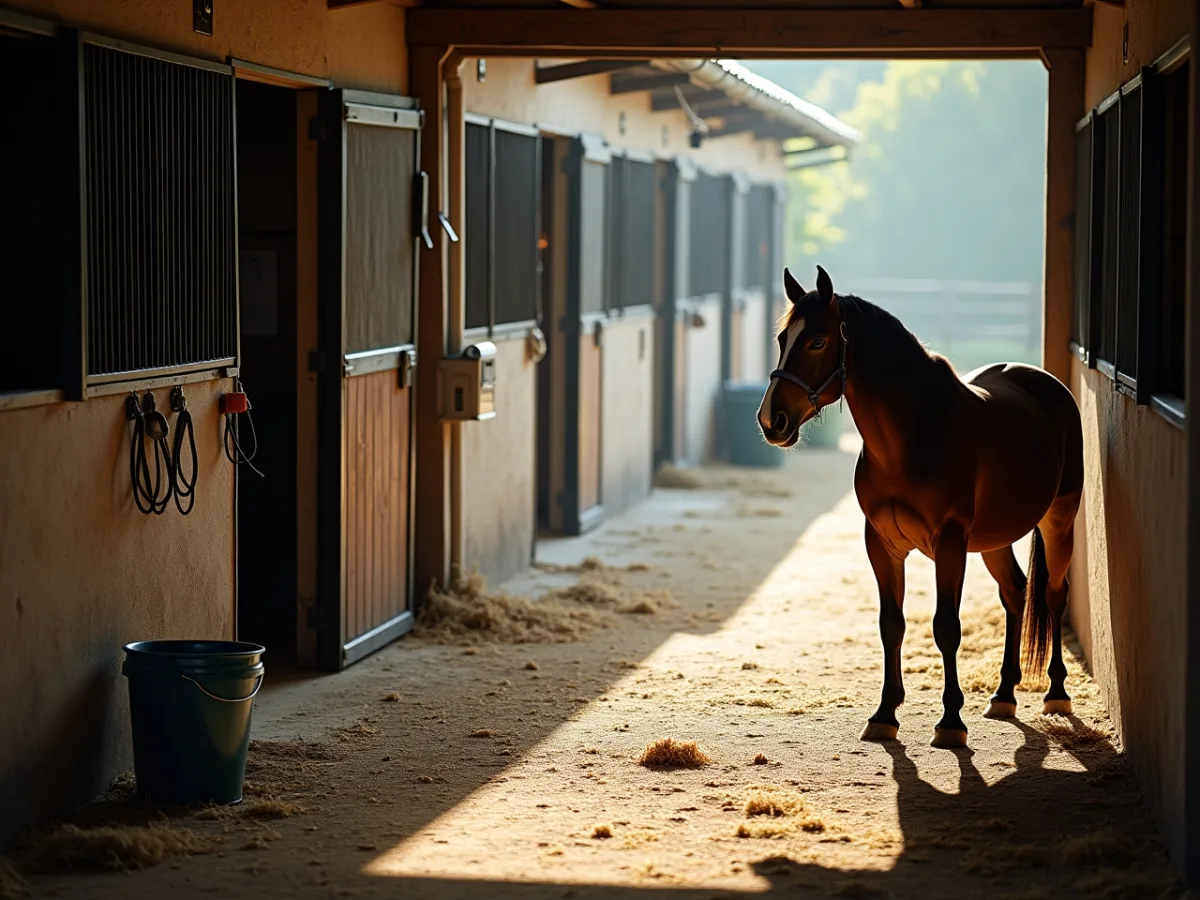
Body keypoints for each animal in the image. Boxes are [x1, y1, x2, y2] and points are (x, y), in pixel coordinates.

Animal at [758, 265, 1083, 749]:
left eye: (817, 341)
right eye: (783, 338)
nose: (771, 421)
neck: (913, 435)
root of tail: (1047, 385)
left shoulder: (949, 543)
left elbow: (946, 627)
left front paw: (950, 721)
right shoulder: (881, 543)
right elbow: (891, 624)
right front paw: (884, 715)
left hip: (1058, 521)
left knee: (1052, 594)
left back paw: (1056, 693)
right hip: (994, 539)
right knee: (1015, 592)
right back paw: (1004, 694)